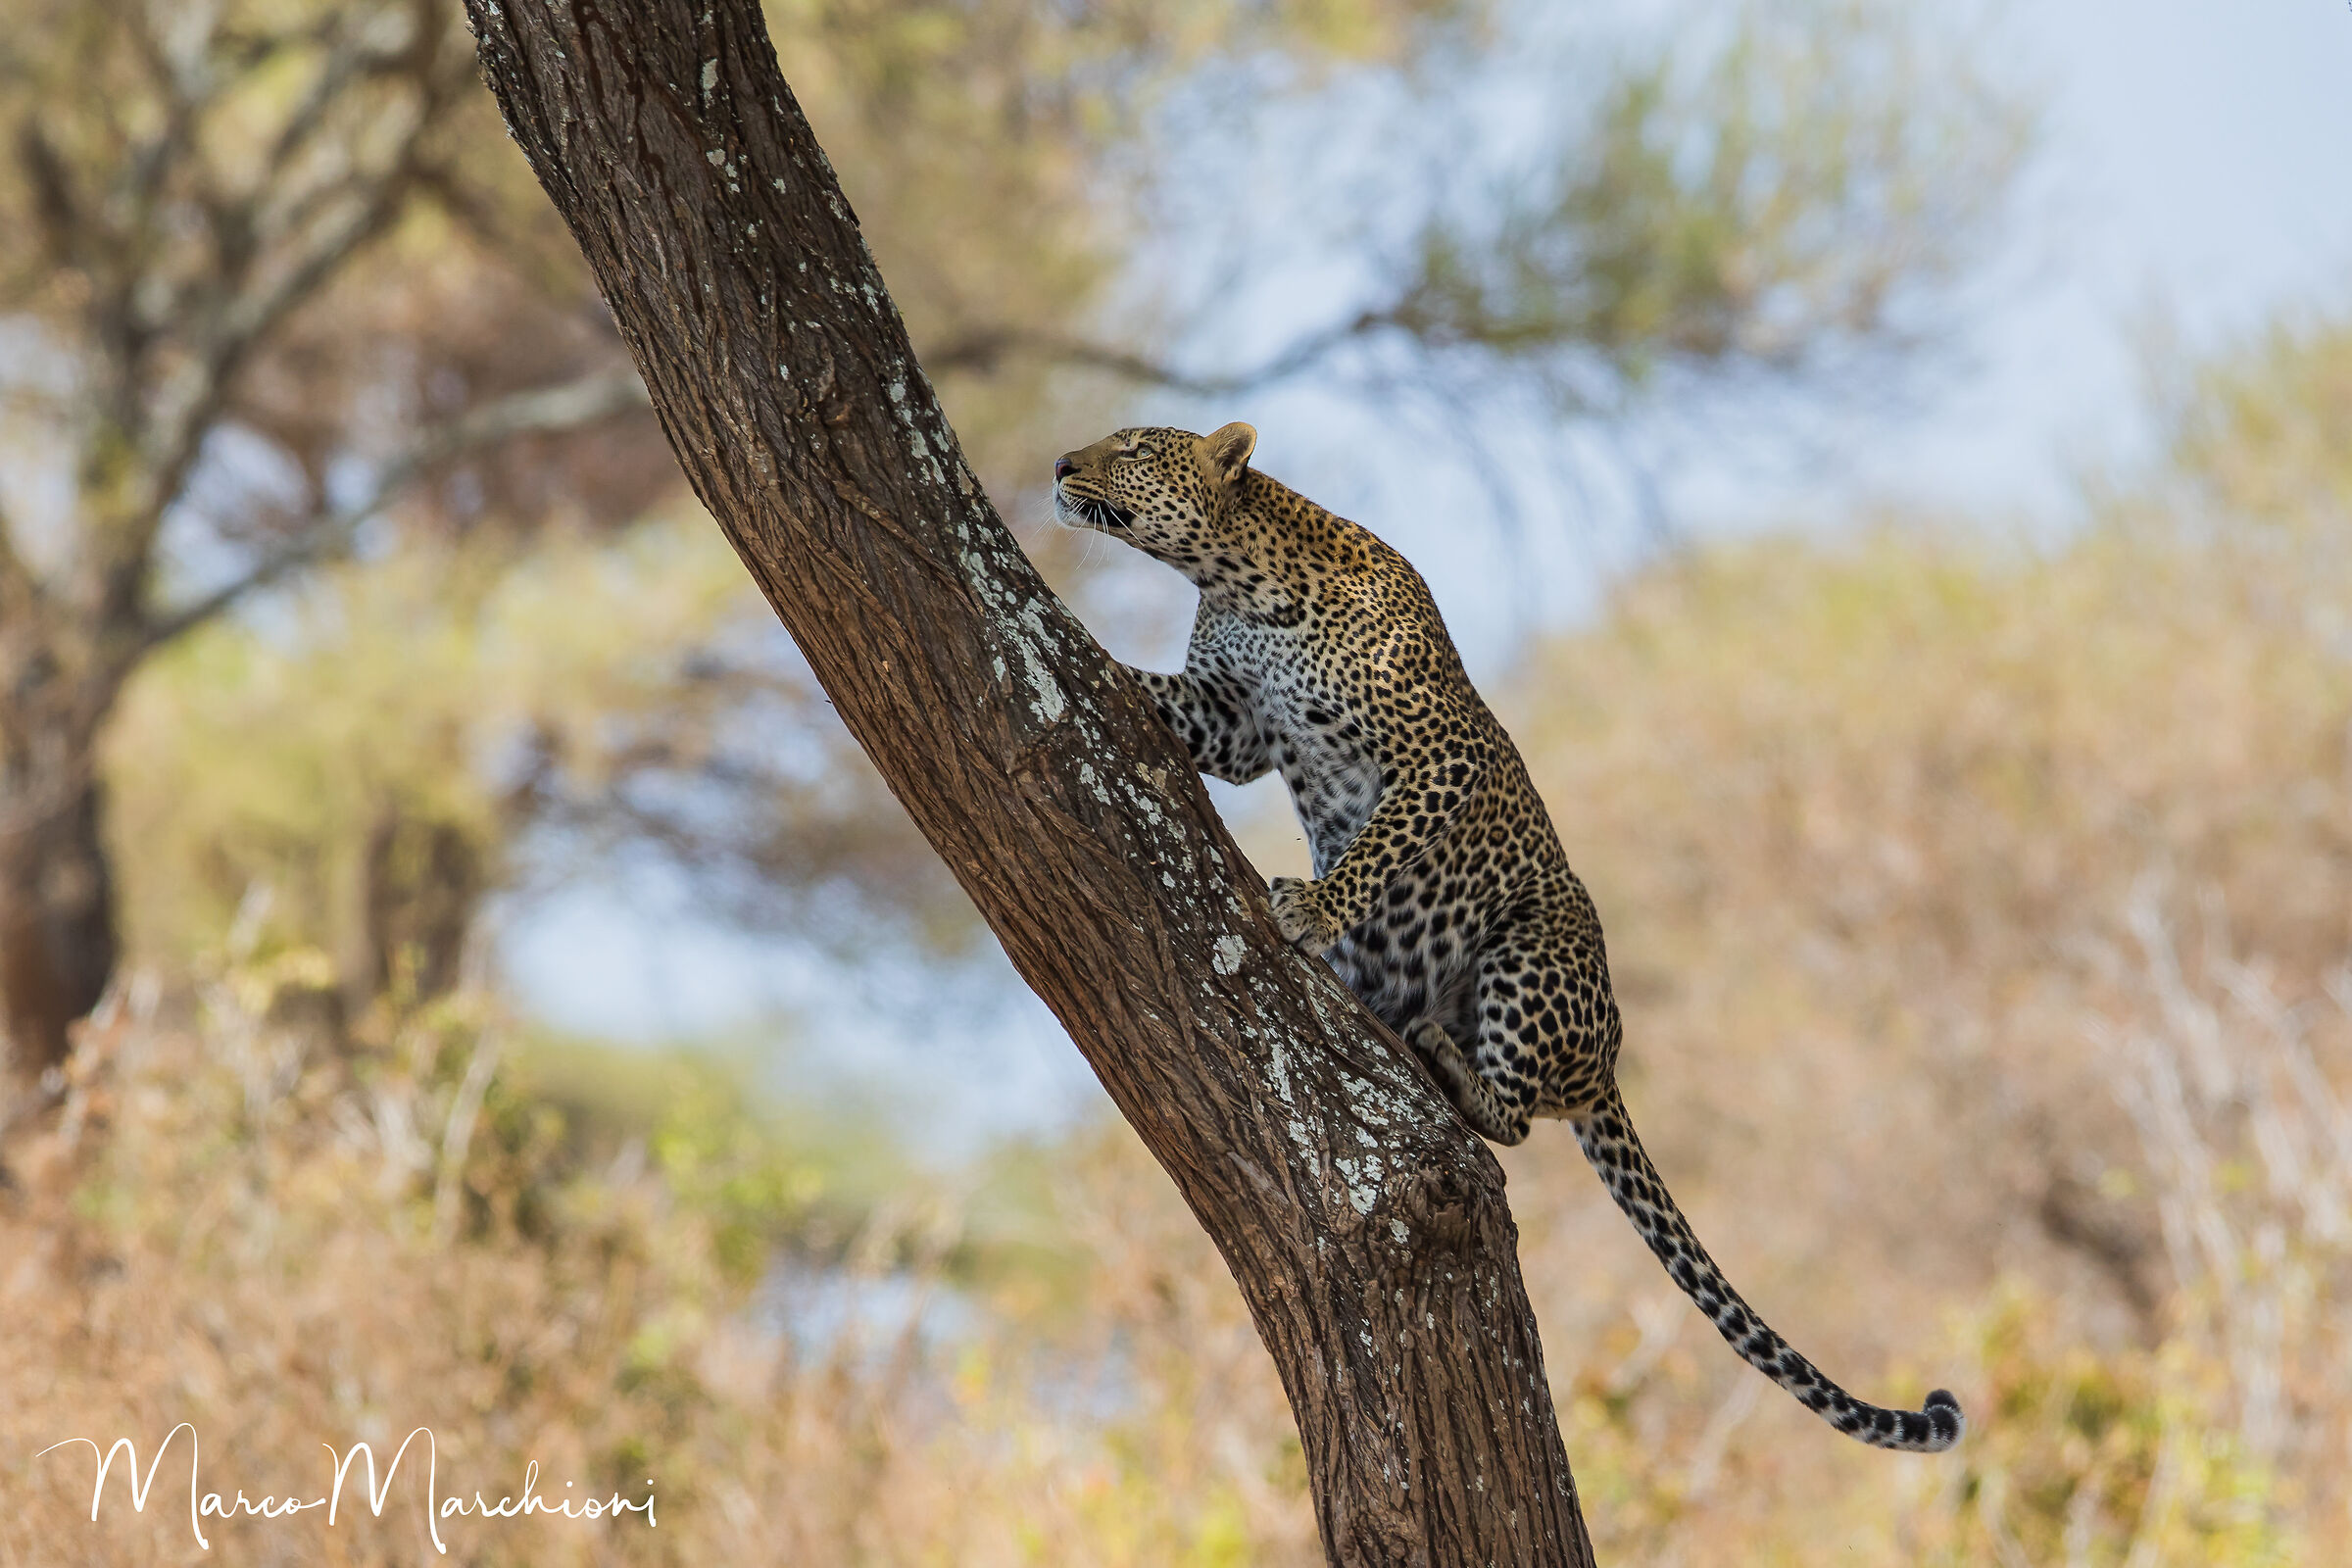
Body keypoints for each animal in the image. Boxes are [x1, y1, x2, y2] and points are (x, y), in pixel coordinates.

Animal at [1053, 420, 1964, 1454]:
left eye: (1132, 447)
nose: (1060, 467)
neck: (1237, 580)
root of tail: (1606, 1065)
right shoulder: (1234, 719)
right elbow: (1171, 702)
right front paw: (1081, 647)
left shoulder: (1438, 760)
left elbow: (1378, 845)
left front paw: (1316, 907)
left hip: (1532, 948)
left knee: (1522, 1118)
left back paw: (1452, 1063)